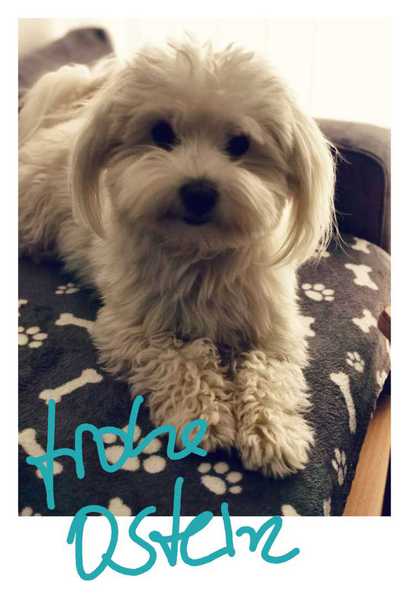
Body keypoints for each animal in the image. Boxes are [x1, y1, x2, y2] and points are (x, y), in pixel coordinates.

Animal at [19, 40, 335, 477]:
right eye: (161, 133)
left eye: (240, 144)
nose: (199, 191)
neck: (200, 253)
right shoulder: (133, 327)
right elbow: (179, 359)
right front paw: (203, 415)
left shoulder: (276, 331)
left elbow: (272, 375)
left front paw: (274, 430)